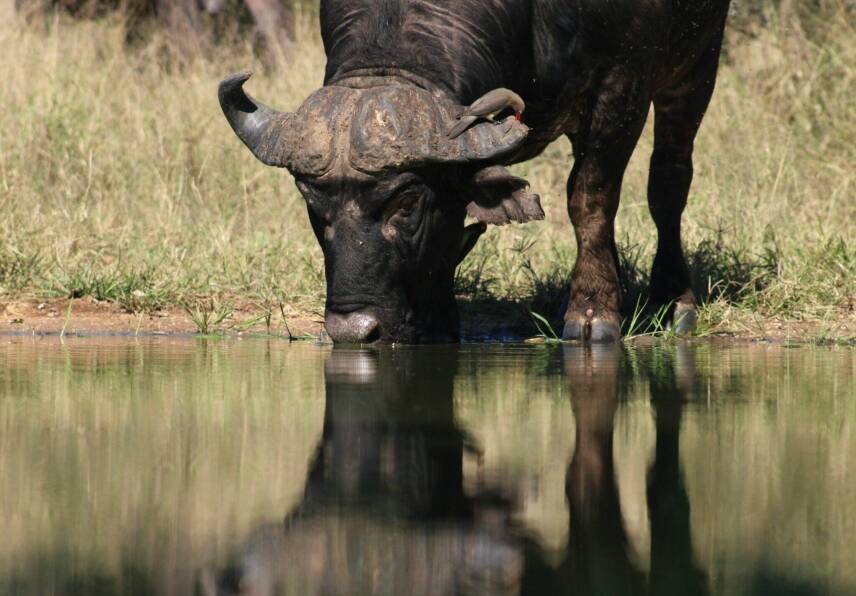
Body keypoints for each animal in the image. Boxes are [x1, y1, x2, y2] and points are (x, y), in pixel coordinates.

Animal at [220, 0, 732, 343]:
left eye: (407, 202)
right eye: (313, 206)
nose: (352, 330)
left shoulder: (621, 87)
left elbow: (590, 198)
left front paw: (592, 311)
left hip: (697, 66)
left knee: (669, 181)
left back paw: (674, 300)